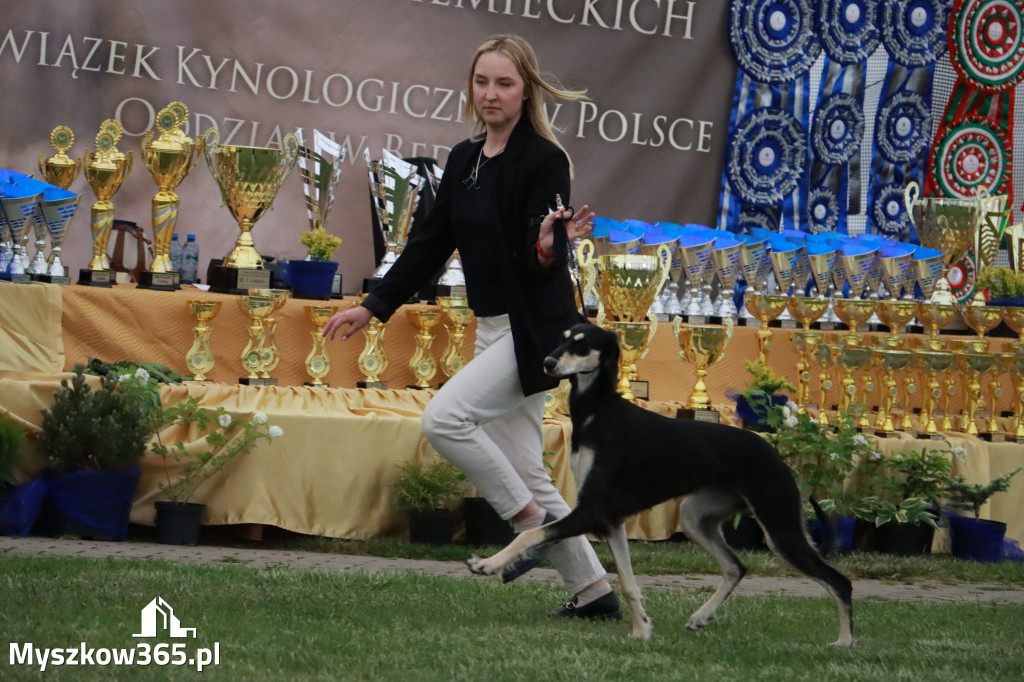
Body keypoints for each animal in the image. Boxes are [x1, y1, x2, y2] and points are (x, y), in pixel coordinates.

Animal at [468, 321, 851, 647]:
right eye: (562, 339)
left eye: (582, 344)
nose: (547, 363)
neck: (598, 412)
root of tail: (775, 454)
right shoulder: (611, 521)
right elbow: (627, 582)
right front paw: (642, 630)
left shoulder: (591, 512)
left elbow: (532, 533)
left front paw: (487, 564)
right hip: (696, 517)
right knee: (736, 566)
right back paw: (701, 617)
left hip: (779, 527)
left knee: (840, 581)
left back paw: (845, 642)